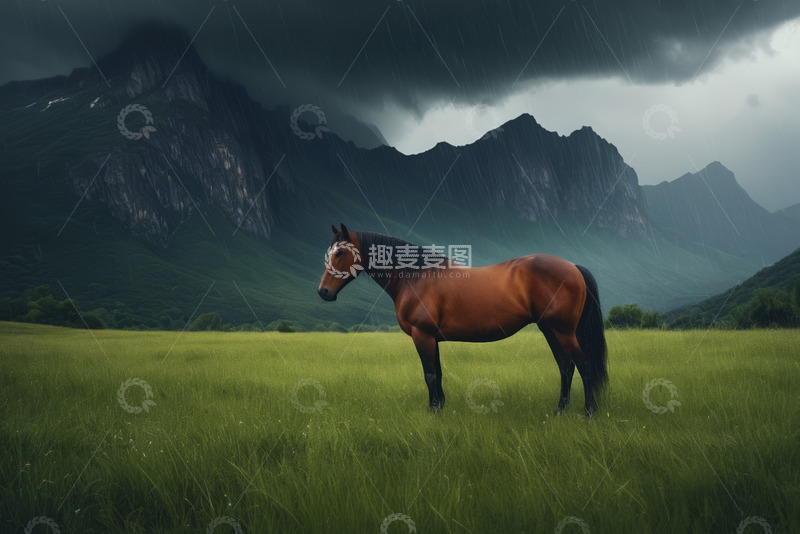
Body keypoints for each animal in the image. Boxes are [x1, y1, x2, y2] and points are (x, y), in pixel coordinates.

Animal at [317, 224, 608, 416]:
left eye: (340, 253)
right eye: (329, 252)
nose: (323, 292)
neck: (417, 277)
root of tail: (572, 266)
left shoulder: (422, 335)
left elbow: (430, 374)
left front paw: (433, 413)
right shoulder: (431, 338)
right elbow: (438, 373)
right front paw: (440, 407)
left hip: (562, 331)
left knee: (582, 364)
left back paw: (588, 412)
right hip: (551, 329)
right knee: (565, 366)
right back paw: (560, 411)